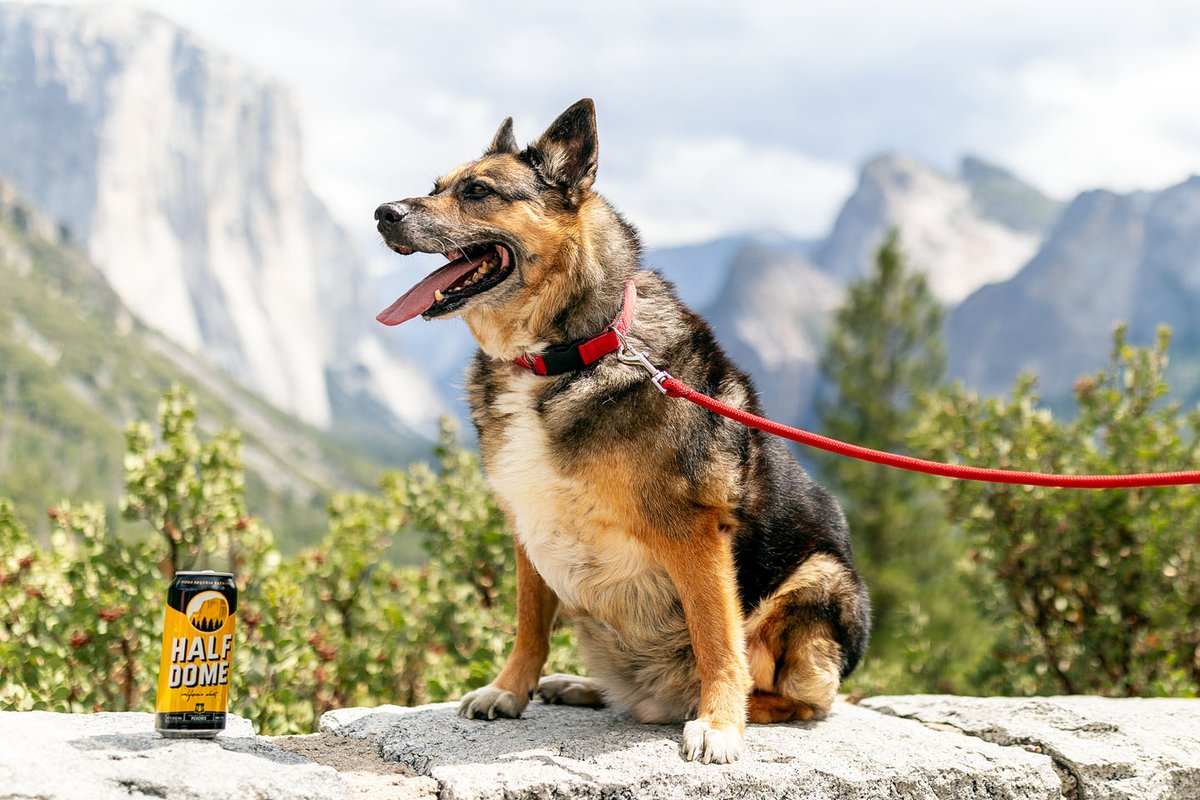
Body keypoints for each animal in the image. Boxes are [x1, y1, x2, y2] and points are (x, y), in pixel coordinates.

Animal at [369, 100, 868, 762]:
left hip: (819, 584)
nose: (381, 213)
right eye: (435, 187)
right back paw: (587, 688)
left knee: (801, 699)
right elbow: (529, 625)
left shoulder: (692, 532)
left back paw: (708, 707)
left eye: (478, 191)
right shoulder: (528, 525)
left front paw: (719, 723)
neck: (564, 353)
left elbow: (717, 638)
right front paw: (509, 690)